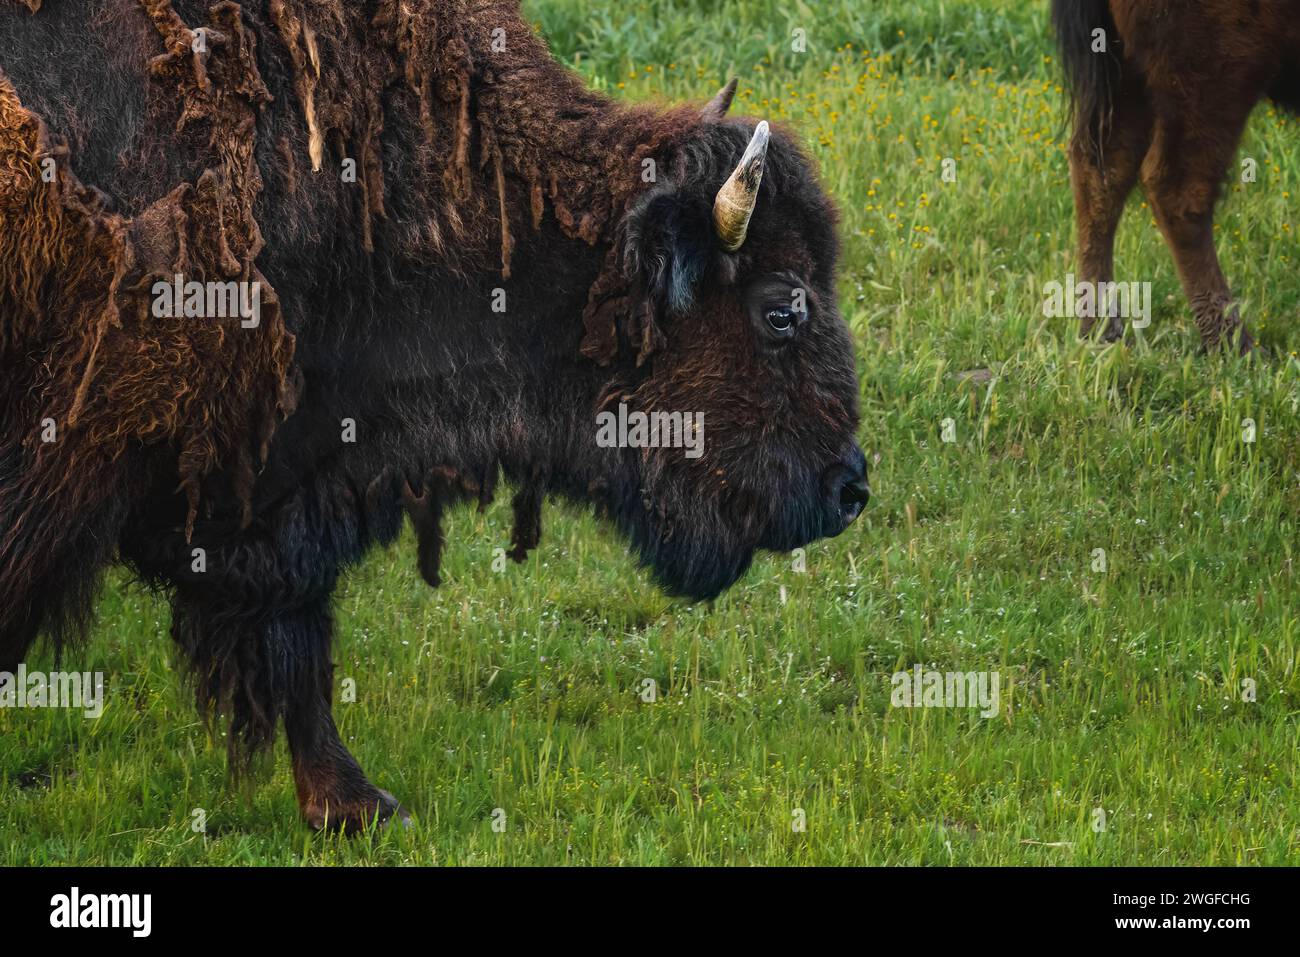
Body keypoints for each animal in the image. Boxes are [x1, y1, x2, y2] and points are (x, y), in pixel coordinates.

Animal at [0, 0, 866, 831]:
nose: (849, 488)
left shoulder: (289, 471)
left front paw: (355, 806)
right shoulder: (62, 468)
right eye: (781, 310)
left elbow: (295, 628)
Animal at [1053, 0, 1300, 351]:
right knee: (1176, 187)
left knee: (1103, 166)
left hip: (1127, 72)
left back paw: (1102, 331)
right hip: (1219, 72)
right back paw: (1236, 344)